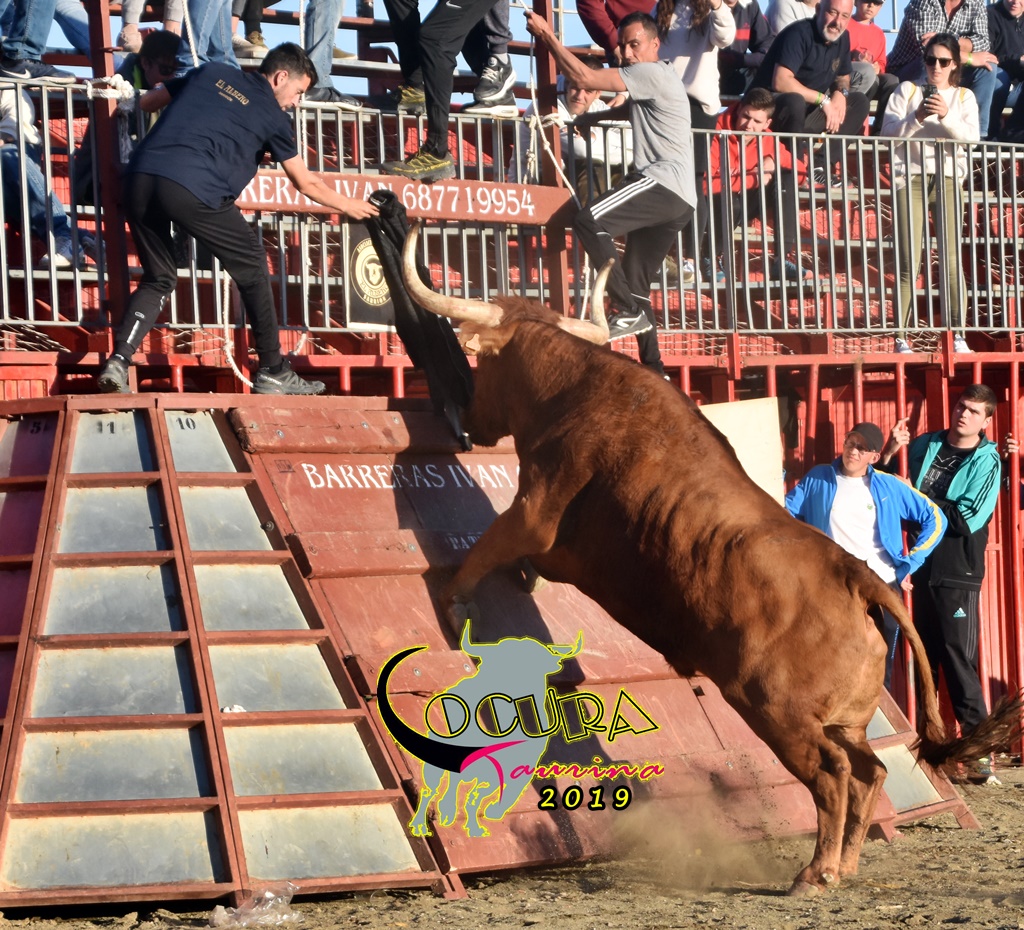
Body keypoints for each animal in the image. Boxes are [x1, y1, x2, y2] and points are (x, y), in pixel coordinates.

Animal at [400, 221, 1020, 895]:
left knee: (832, 775)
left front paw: (454, 601)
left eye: (482, 362)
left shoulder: (535, 509)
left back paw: (815, 871)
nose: (468, 422)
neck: (576, 388)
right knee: (871, 771)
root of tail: (857, 575)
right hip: (842, 720)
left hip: (778, 712)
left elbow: (490, 547)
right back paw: (846, 863)